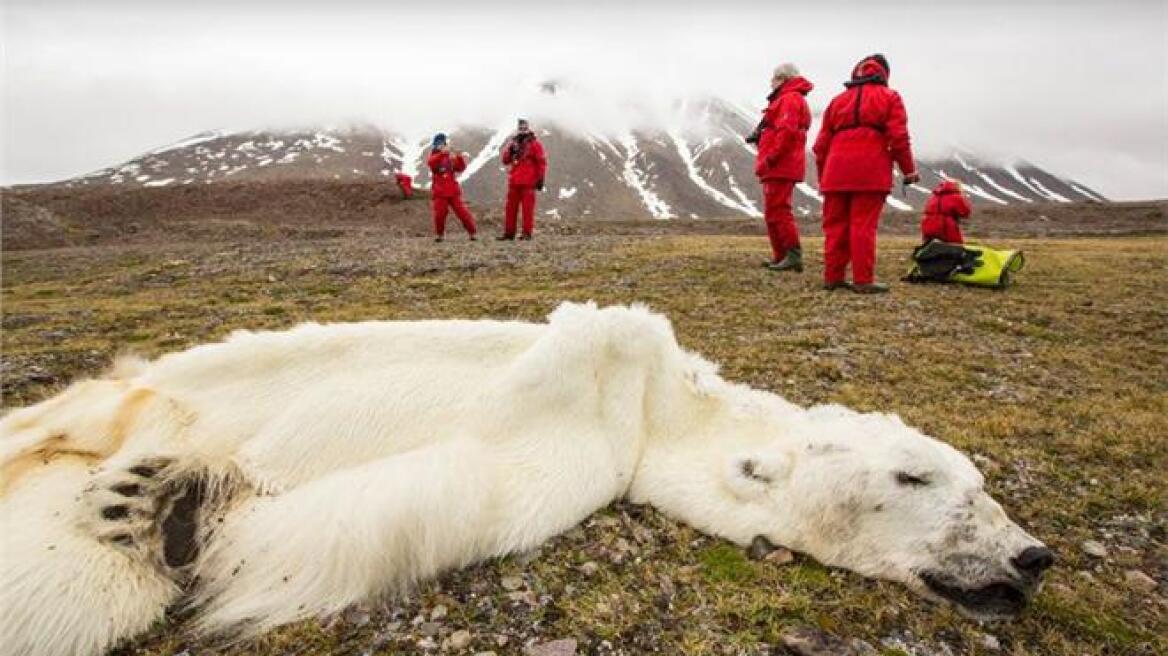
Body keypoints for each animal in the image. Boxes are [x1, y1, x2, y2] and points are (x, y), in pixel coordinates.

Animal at [0, 301, 1055, 653]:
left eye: (980, 483)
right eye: (918, 478)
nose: (1033, 556)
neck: (654, 407)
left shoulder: (578, 459)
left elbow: (418, 498)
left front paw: (174, 509)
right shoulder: (590, 385)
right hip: (132, 397)